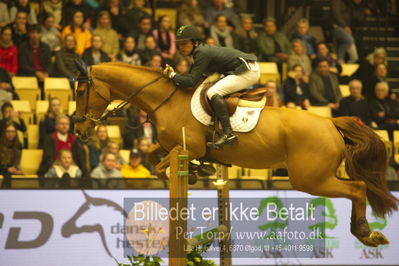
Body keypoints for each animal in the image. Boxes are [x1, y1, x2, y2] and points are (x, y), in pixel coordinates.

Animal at [73, 61, 398, 247]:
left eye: (81, 92)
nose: (79, 130)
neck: (164, 99)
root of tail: (330, 122)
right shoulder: (172, 146)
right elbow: (154, 158)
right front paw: (199, 170)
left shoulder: (188, 147)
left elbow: (161, 166)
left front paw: (194, 171)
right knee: (359, 187)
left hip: (310, 179)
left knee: (358, 188)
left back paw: (366, 233)